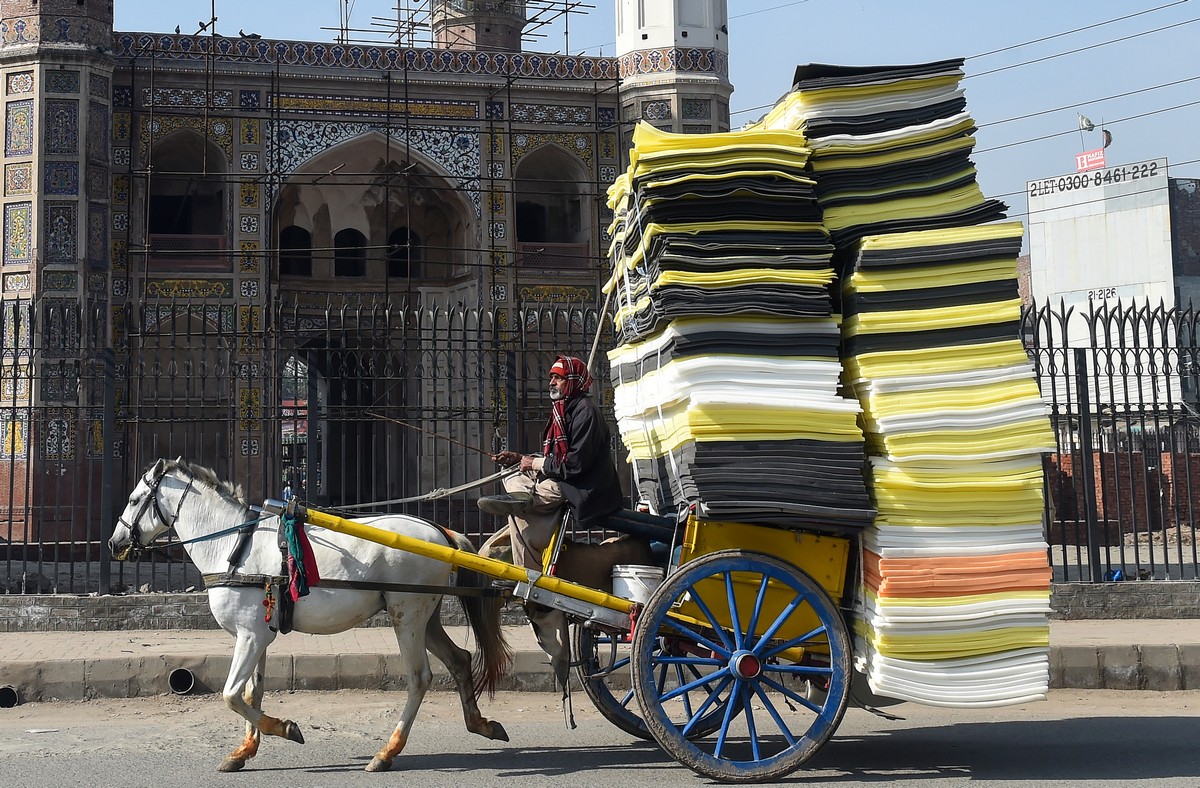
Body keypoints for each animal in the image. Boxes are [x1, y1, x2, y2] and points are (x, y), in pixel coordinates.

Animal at [106, 458, 511, 772]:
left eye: (134, 499)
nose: (114, 542)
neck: (232, 545)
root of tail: (438, 531)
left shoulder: (251, 635)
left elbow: (231, 694)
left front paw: (285, 728)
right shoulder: (256, 634)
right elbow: (251, 691)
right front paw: (244, 751)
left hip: (407, 616)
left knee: (419, 677)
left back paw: (386, 752)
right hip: (425, 616)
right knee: (459, 660)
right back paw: (481, 724)